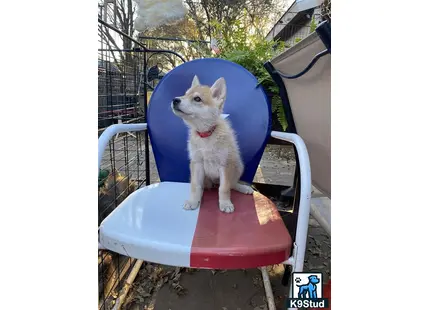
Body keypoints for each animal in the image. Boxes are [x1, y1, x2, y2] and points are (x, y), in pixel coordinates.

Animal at [170, 75, 252, 213]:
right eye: (185, 94)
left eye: (197, 99)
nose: (175, 100)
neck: (206, 136)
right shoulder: (197, 163)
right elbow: (195, 186)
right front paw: (193, 201)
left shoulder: (224, 165)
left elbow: (224, 188)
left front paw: (225, 203)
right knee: (204, 186)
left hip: (237, 165)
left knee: (232, 184)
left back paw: (243, 188)